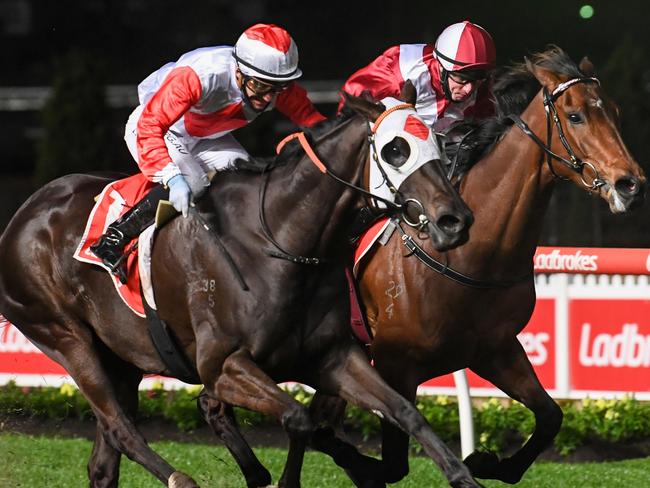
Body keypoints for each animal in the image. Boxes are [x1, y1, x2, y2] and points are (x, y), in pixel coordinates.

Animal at [0, 93, 480, 486]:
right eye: (395, 150)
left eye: (439, 145)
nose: (455, 220)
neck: (280, 241)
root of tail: (26, 210)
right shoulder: (223, 366)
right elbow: (300, 419)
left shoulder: (333, 357)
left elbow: (404, 412)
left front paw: (462, 475)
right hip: (65, 337)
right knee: (122, 429)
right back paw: (180, 478)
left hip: (122, 358)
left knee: (104, 461)